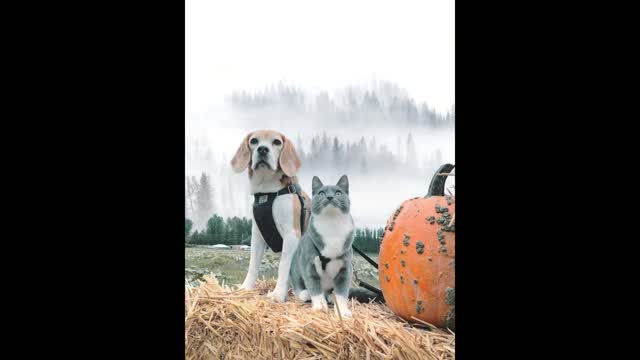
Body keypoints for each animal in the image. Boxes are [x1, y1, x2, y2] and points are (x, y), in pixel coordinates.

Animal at [231, 131, 312, 302]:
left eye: (277, 142)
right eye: (254, 141)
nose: (262, 150)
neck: (267, 191)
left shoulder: (291, 235)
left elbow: (283, 266)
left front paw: (278, 294)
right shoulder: (257, 235)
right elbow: (253, 264)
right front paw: (246, 288)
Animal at [290, 176, 356, 316]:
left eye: (338, 192)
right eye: (321, 193)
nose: (330, 197)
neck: (331, 223)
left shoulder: (345, 267)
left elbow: (342, 291)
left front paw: (342, 311)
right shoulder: (309, 262)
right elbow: (314, 285)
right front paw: (320, 306)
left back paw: (331, 296)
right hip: (295, 267)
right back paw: (305, 294)